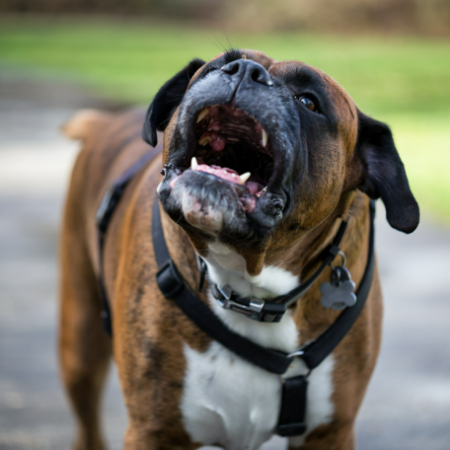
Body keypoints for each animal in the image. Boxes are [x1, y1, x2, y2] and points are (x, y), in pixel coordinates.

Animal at [59, 49, 418, 450]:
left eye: (309, 102)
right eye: (217, 66)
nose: (246, 70)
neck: (253, 289)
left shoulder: (329, 434)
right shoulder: (153, 430)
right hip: (80, 346)